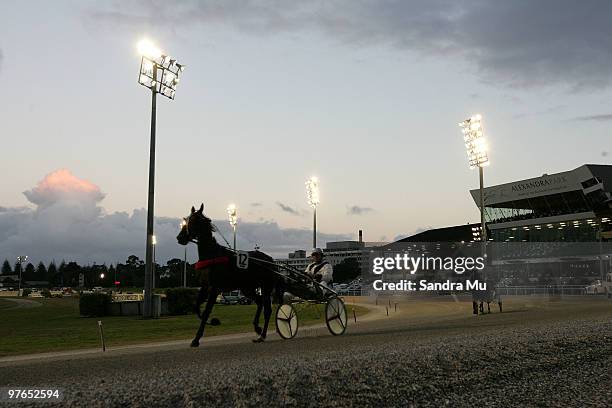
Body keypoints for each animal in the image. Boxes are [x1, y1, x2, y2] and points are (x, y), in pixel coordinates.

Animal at [177, 202, 282, 346]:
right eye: (187, 220)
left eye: (195, 220)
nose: (180, 238)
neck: (212, 255)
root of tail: (270, 260)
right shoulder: (205, 286)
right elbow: (197, 308)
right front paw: (212, 322)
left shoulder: (214, 288)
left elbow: (206, 311)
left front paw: (197, 338)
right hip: (247, 288)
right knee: (260, 302)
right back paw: (257, 328)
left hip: (265, 287)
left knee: (267, 309)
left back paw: (262, 335)